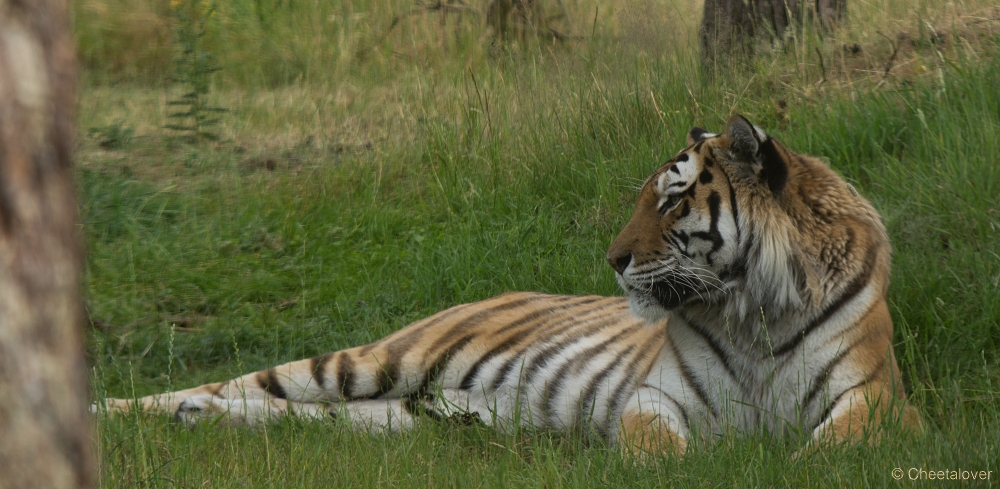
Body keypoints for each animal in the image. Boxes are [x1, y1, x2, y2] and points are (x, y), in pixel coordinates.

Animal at [97, 113, 916, 454]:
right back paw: (119, 410)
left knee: (299, 415)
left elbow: (835, 450)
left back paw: (198, 420)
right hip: (375, 360)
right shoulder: (655, 398)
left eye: (671, 200)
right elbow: (658, 446)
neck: (752, 311)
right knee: (248, 383)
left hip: (406, 414)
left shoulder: (876, 400)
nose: (612, 259)